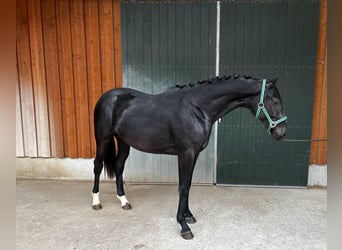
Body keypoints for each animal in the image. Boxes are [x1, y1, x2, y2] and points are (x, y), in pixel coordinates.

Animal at [91, 74, 286, 240]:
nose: (282, 133)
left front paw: (188, 215)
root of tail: (107, 97)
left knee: (118, 167)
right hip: (103, 140)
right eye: (275, 100)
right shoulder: (186, 153)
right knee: (98, 166)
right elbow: (183, 187)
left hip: (124, 141)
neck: (197, 108)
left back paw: (124, 201)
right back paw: (96, 202)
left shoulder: (194, 153)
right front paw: (184, 226)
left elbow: (188, 184)